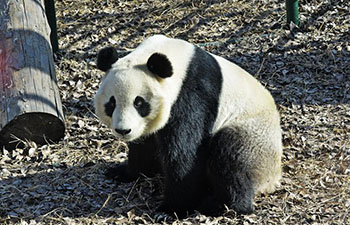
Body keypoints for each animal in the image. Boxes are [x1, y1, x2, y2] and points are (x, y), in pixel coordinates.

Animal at [93, 34, 282, 216]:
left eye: (139, 103)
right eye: (112, 103)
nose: (123, 130)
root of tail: (272, 180)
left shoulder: (193, 95)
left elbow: (184, 154)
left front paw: (173, 208)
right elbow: (144, 145)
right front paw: (124, 172)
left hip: (254, 139)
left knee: (231, 157)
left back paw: (223, 206)